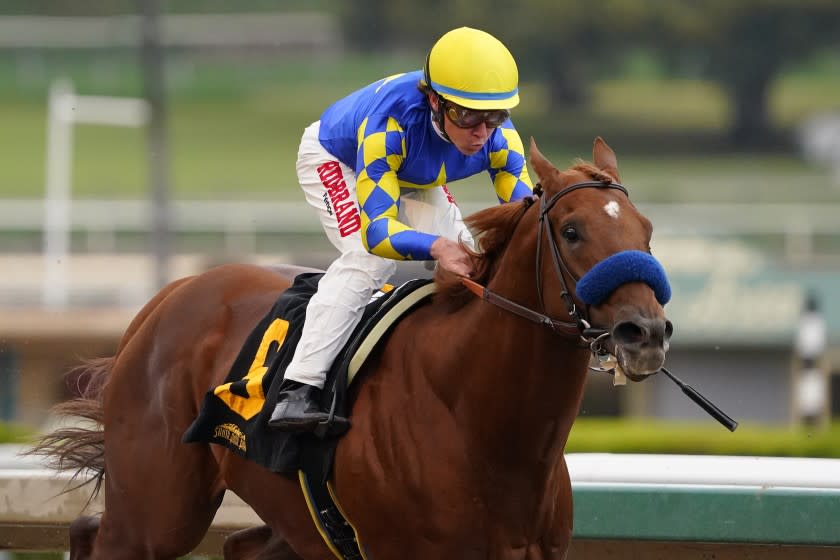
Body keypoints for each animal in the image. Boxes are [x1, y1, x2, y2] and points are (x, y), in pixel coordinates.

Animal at [32, 138, 672, 556]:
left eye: (645, 232)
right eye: (572, 231)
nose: (645, 332)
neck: (476, 420)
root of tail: (167, 297)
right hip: (158, 509)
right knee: (96, 534)